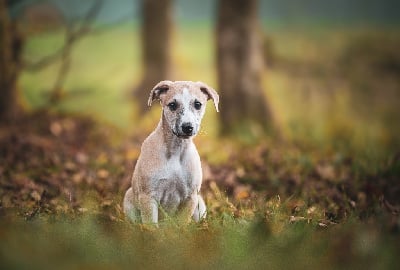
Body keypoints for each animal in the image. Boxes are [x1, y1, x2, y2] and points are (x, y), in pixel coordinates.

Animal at [124, 80, 220, 224]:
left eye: (197, 104)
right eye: (172, 105)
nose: (187, 127)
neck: (176, 150)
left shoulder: (191, 197)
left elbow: (182, 223)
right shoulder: (148, 196)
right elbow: (151, 225)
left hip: (200, 205)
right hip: (129, 200)